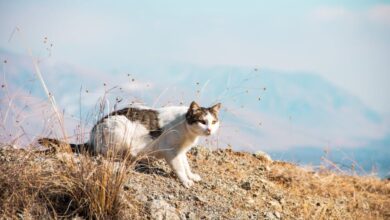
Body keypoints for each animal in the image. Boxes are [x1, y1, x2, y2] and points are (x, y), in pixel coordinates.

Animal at [40, 101, 222, 187]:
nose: (209, 130)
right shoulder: (171, 151)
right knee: (103, 153)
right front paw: (185, 181)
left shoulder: (181, 151)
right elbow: (179, 168)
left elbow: (186, 165)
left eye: (213, 122)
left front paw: (191, 176)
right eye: (202, 121)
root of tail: (92, 135)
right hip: (119, 131)